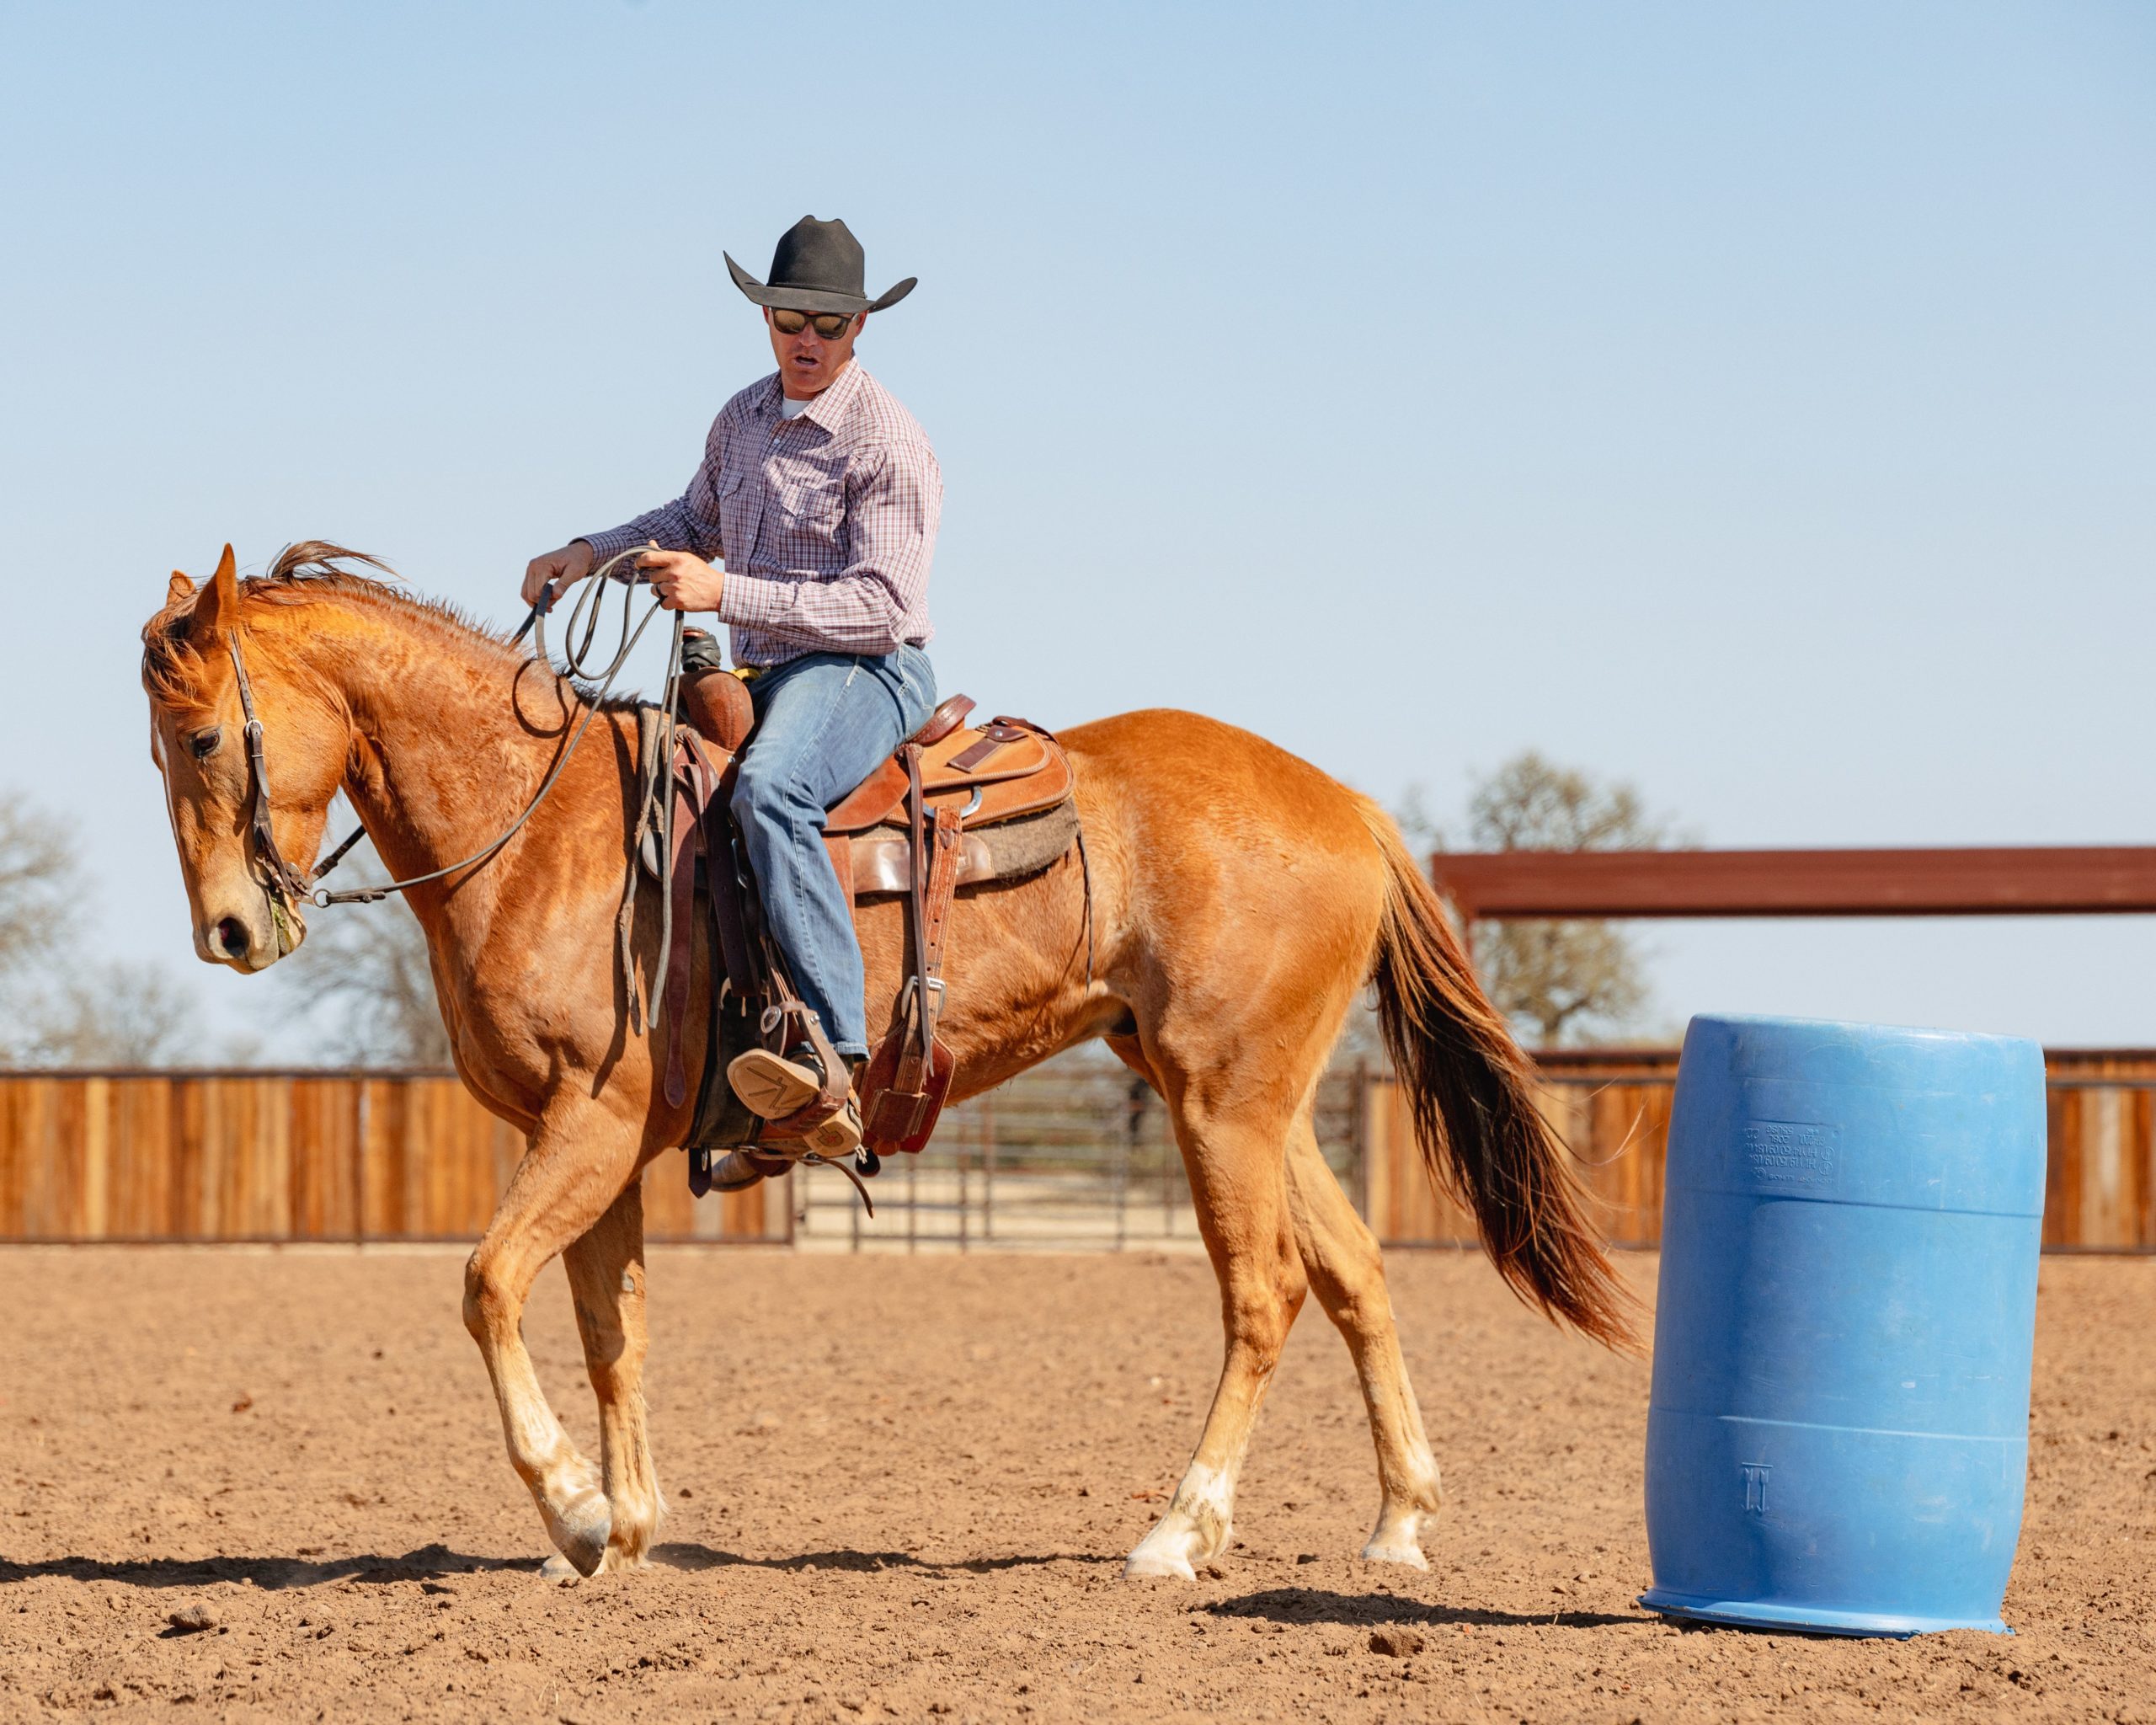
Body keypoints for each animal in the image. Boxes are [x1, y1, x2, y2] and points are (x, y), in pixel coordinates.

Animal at [139, 545, 1630, 1587]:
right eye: (157, 747)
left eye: (204, 735)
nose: (227, 932)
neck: (545, 830)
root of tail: (1349, 804)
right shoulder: (597, 1143)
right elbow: (612, 1332)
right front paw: (627, 1525)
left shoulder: (589, 1124)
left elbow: (489, 1285)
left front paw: (569, 1508)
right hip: (1260, 1103)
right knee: (1357, 1276)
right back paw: (1398, 1526)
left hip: (1221, 1104)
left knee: (1263, 1297)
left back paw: (1176, 1532)